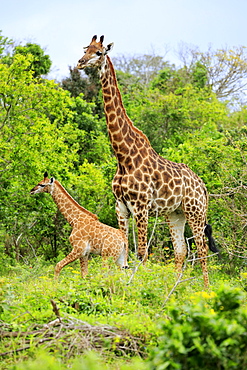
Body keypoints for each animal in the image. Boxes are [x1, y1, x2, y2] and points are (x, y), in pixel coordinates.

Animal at [76, 34, 217, 286]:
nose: (80, 62)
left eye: (99, 52)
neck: (123, 157)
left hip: (196, 211)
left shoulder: (141, 207)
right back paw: (174, 288)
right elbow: (124, 247)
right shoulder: (121, 207)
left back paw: (206, 290)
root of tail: (202, 186)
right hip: (175, 214)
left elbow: (141, 252)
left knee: (201, 250)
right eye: (85, 49)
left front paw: (136, 286)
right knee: (181, 251)